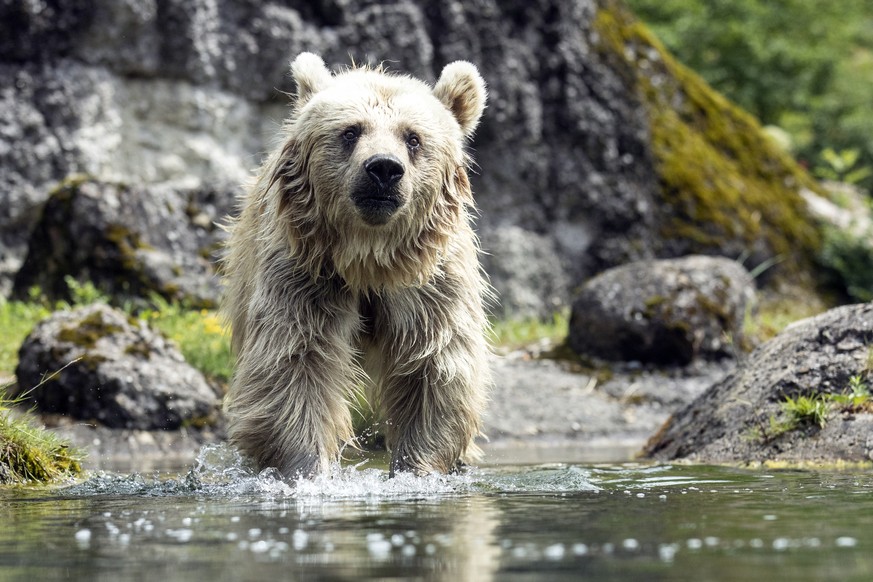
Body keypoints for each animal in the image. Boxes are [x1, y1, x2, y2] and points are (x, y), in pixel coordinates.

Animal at [221, 52, 490, 476]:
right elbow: (293, 363)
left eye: (413, 137)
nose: (383, 169)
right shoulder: (305, 274)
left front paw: (417, 467)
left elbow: (435, 369)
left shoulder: (429, 286)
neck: (369, 260)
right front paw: (306, 467)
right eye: (350, 131)